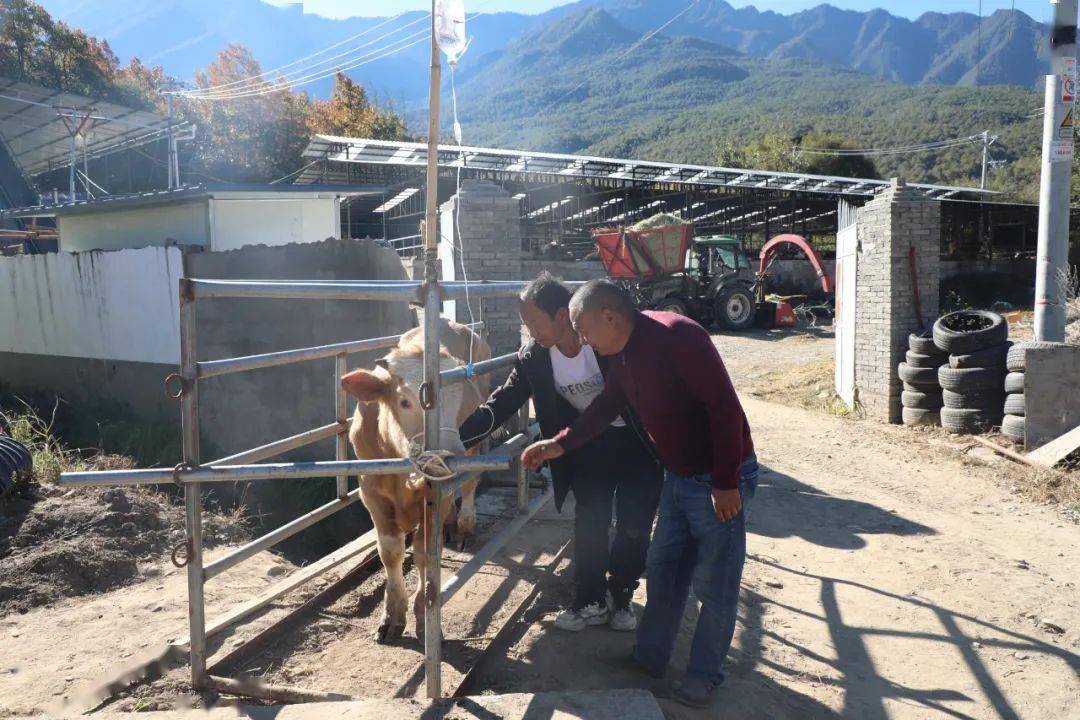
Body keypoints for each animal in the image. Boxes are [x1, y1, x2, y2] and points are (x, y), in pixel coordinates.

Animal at [339, 321, 492, 643]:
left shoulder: (437, 495)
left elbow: (424, 551)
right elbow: (390, 551)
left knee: (469, 486)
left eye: (459, 397)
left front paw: (423, 615)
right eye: (404, 401)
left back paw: (463, 525)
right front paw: (391, 616)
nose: (452, 455)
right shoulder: (370, 492)